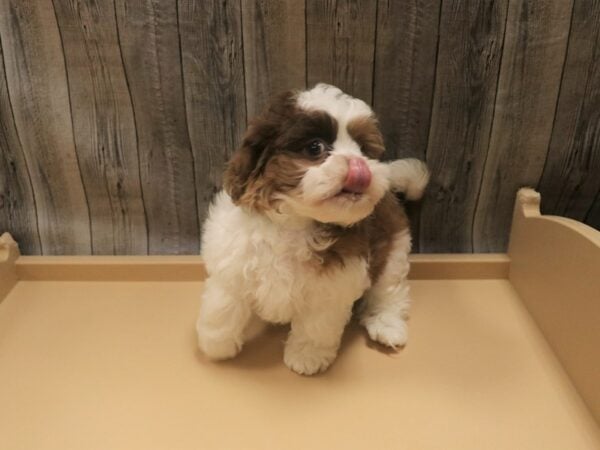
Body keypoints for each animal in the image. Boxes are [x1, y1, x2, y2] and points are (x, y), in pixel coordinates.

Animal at [199, 82, 428, 374]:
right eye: (315, 147)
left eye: (363, 150)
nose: (361, 167)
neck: (295, 221)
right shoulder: (232, 266)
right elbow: (223, 308)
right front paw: (216, 345)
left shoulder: (331, 288)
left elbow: (316, 326)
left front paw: (306, 357)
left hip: (395, 251)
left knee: (390, 291)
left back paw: (387, 325)